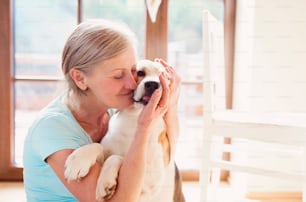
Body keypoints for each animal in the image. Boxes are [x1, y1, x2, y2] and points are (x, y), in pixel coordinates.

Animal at [64, 59, 184, 201]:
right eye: (140, 72)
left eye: (164, 77)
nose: (152, 84)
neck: (134, 119)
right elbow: (98, 146)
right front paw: (78, 161)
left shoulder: (150, 181)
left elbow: (117, 157)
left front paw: (105, 182)